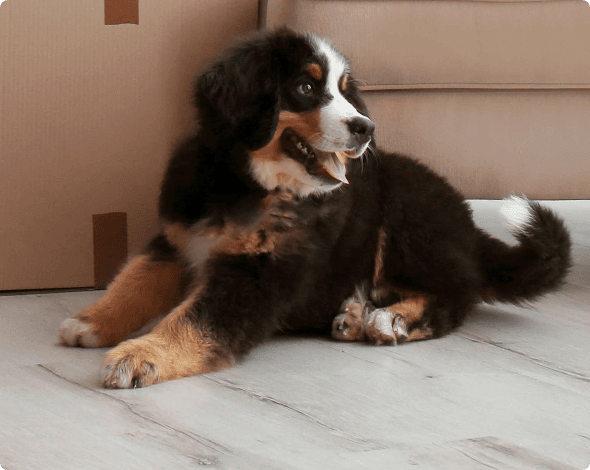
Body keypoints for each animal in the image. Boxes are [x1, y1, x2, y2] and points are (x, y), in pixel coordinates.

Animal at [57, 28, 572, 390]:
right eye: (306, 87)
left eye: (345, 91)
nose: (366, 127)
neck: (245, 184)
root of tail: (468, 226)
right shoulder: (177, 238)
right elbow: (134, 278)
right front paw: (93, 320)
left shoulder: (260, 271)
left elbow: (194, 318)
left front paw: (139, 355)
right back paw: (353, 314)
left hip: (409, 222)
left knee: (454, 295)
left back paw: (391, 319)